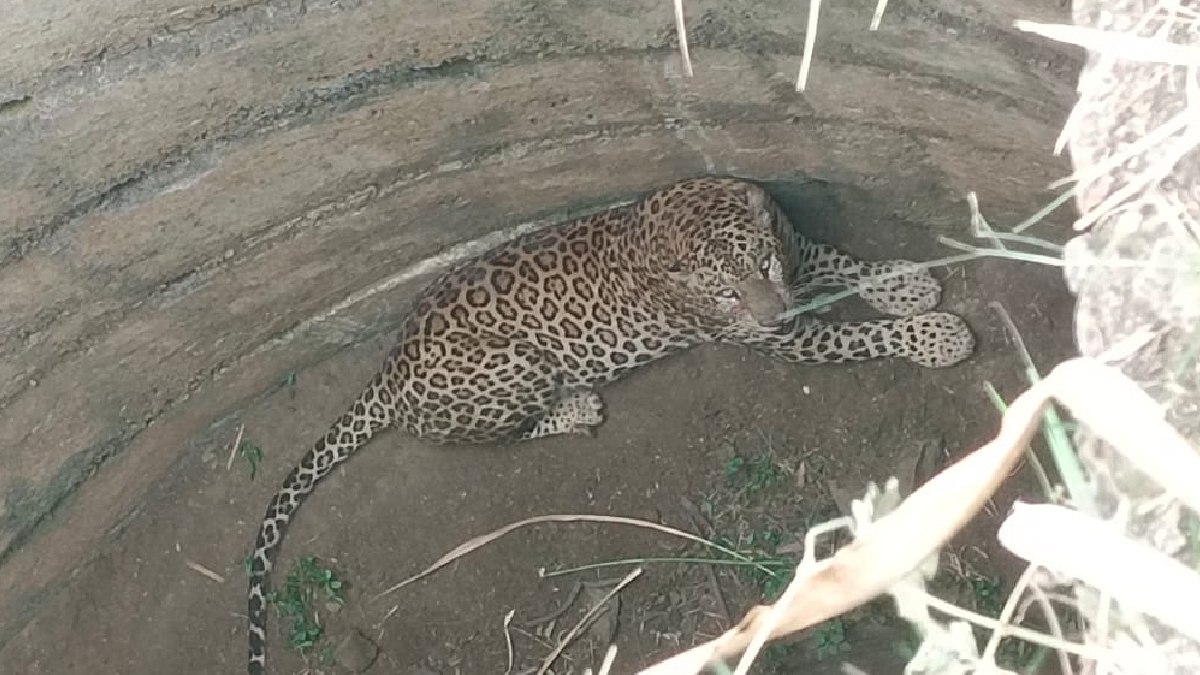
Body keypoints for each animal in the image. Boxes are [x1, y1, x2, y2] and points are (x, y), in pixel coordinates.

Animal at [245, 176, 974, 674]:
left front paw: (902, 284)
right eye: (723, 293)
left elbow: (834, 261)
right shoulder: (780, 338)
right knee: (500, 431)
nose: (770, 313)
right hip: (513, 369)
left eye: (762, 266)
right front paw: (935, 334)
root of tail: (388, 373)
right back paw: (576, 406)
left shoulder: (792, 261)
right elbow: (857, 336)